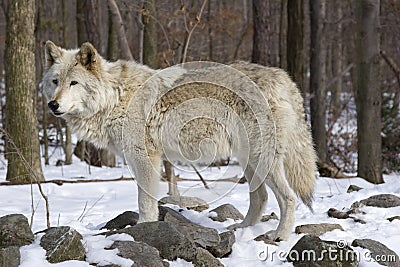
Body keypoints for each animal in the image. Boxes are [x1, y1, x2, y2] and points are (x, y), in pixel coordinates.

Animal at [42, 40, 318, 242]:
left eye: (74, 83)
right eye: (55, 81)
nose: (52, 104)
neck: (115, 97)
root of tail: (284, 78)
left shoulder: (145, 158)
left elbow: (145, 202)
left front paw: (142, 230)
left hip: (262, 159)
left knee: (289, 198)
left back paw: (280, 236)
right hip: (248, 160)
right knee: (260, 197)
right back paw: (241, 229)